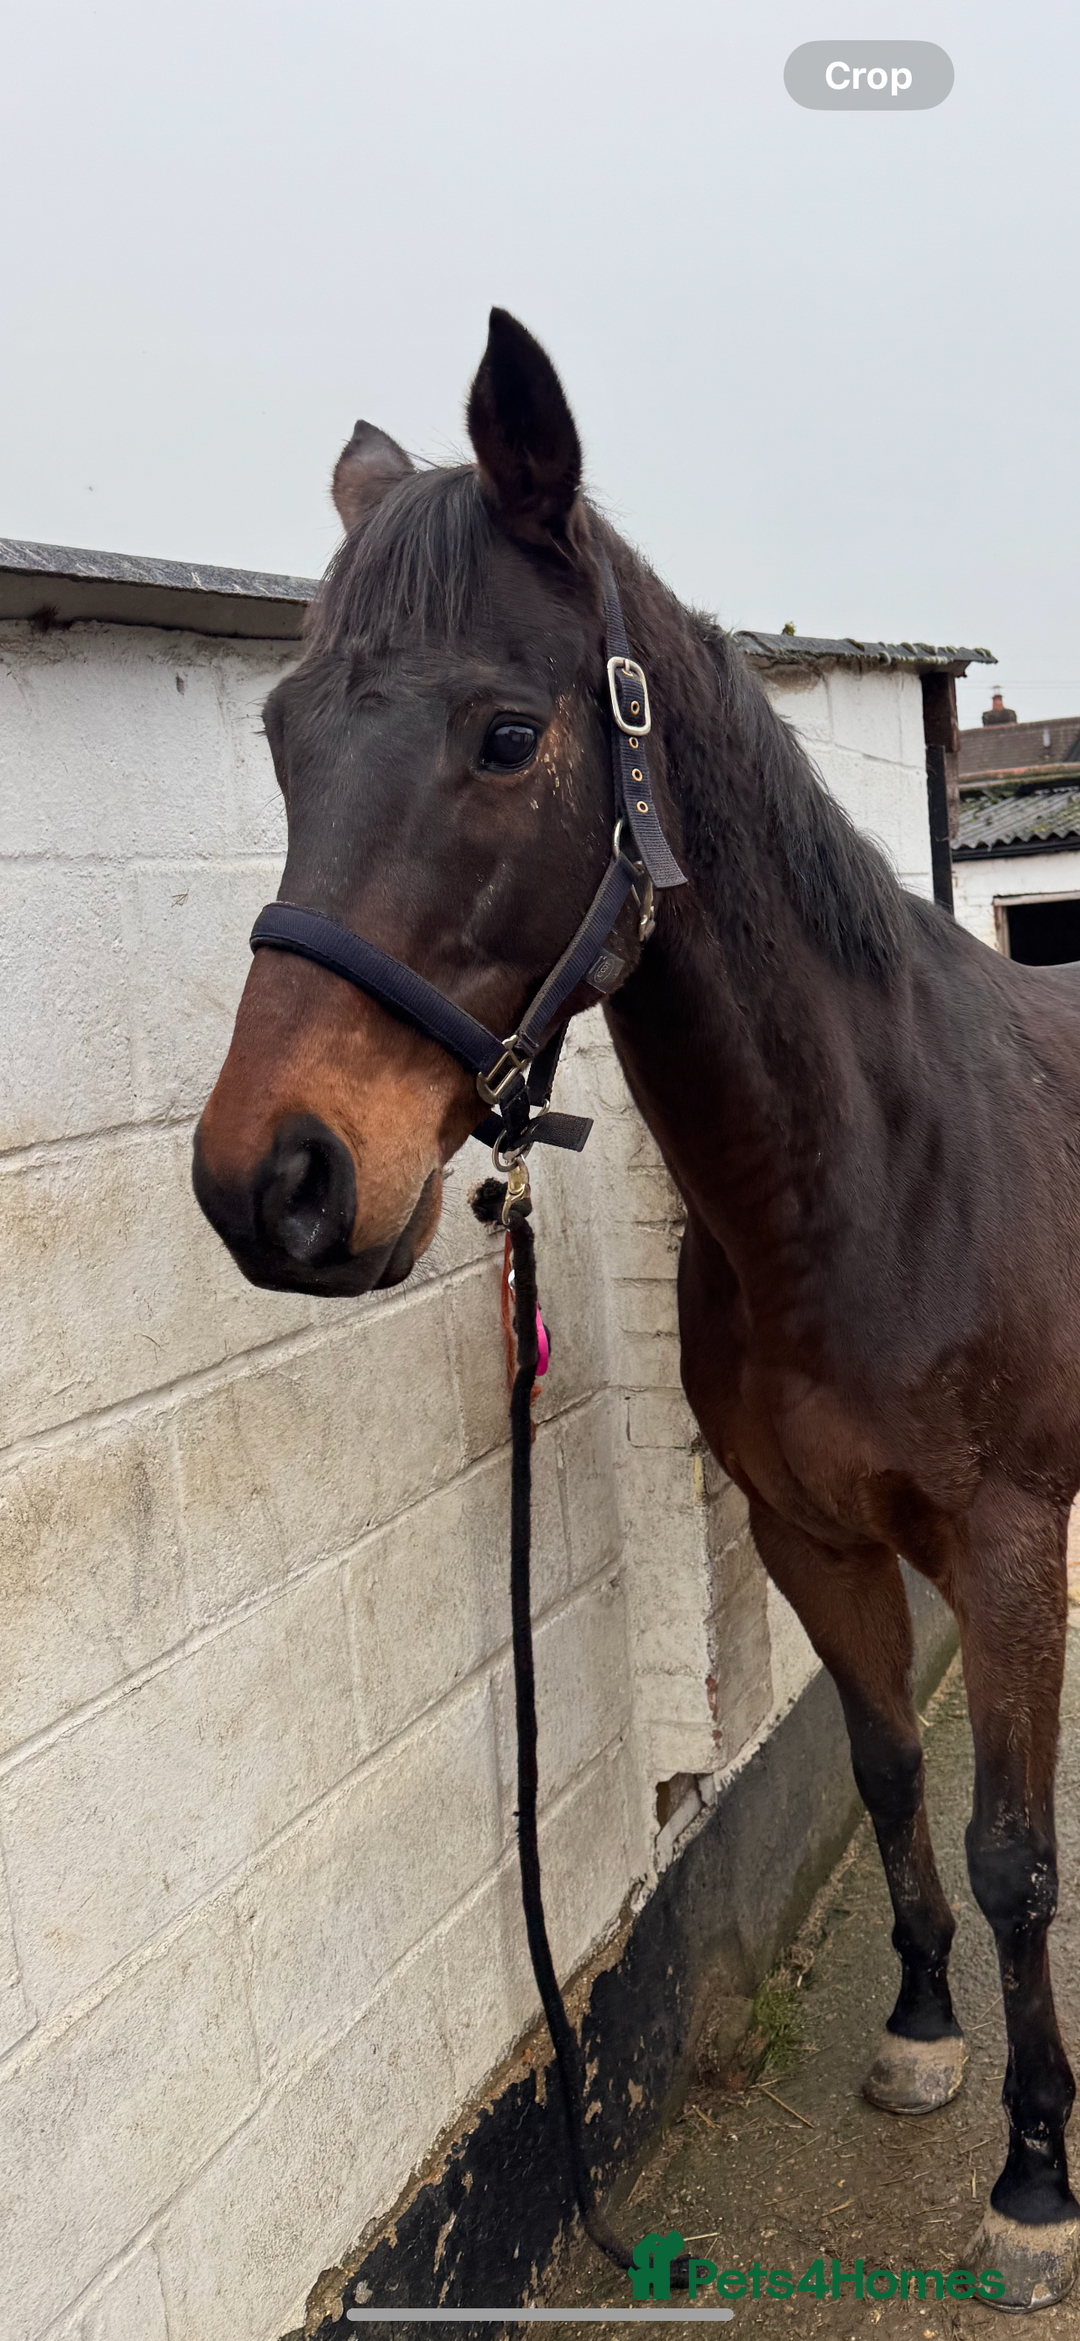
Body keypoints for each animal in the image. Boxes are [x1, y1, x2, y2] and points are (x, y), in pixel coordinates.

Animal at [193, 309, 1080, 2313]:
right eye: (283, 739)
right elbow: (887, 1770)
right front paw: (923, 2032)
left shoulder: (1001, 1543)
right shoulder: (805, 1530)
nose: (270, 1181)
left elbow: (1013, 1849)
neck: (868, 1181)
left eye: (508, 735)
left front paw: (1034, 2179)